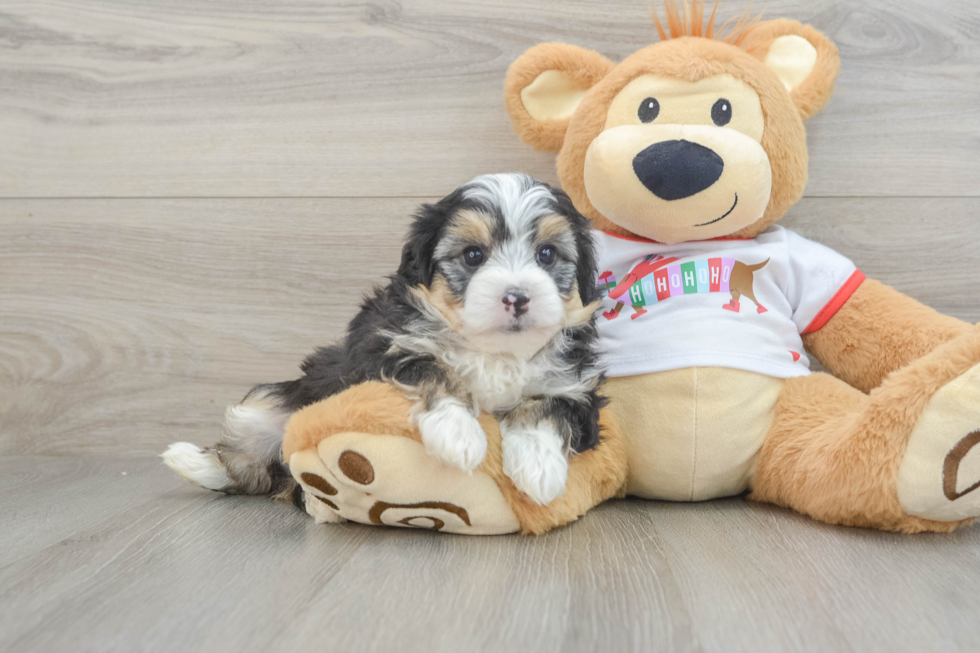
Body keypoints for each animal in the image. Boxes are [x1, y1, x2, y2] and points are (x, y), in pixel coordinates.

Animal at [166, 172, 608, 504]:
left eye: (547, 255)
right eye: (473, 256)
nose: (516, 297)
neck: (494, 350)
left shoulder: (574, 387)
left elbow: (544, 409)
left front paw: (538, 467)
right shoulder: (384, 347)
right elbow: (434, 371)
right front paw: (458, 434)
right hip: (267, 404)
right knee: (248, 458)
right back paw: (193, 463)